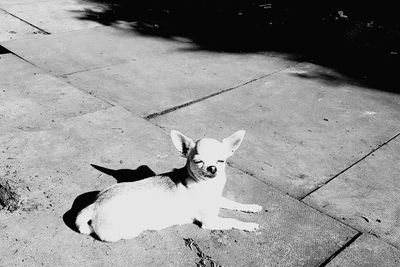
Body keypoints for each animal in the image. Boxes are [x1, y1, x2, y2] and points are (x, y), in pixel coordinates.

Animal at [75, 130, 262, 243]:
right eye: (198, 162)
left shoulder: (218, 200)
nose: (212, 168)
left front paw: (252, 207)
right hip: (127, 230)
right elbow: (232, 221)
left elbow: (234, 204)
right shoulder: (210, 221)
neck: (208, 187)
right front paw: (249, 225)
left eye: (221, 161)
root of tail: (95, 204)